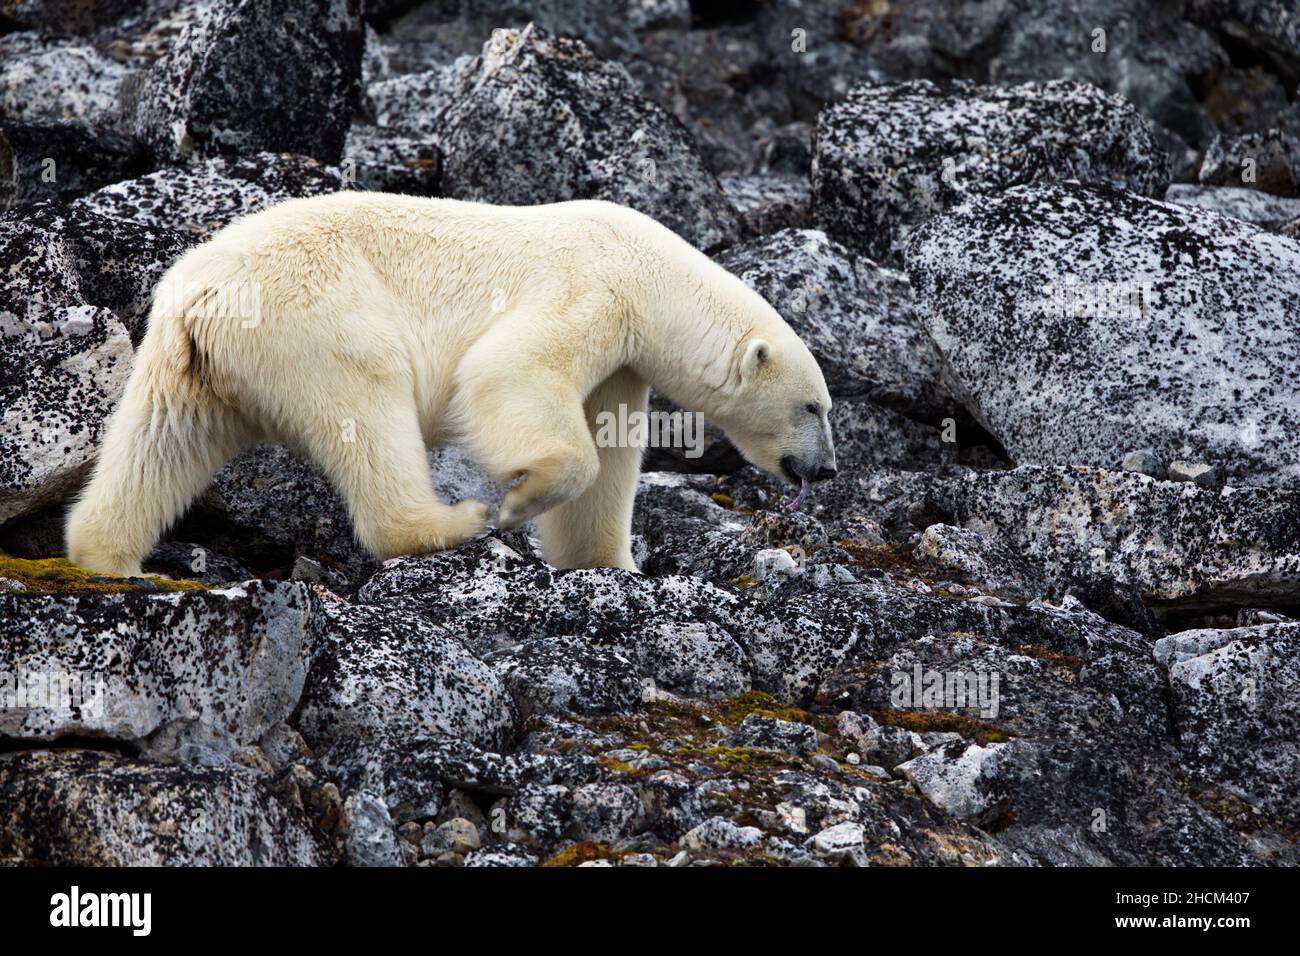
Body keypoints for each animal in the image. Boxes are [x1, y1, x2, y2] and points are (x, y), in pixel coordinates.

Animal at [65, 191, 837, 572]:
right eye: (814, 405)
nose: (827, 472)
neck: (648, 272)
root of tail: (205, 296)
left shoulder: (620, 363)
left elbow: (610, 449)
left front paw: (610, 565)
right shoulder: (590, 290)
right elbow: (506, 372)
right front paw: (519, 501)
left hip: (187, 357)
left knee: (161, 441)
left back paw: (107, 556)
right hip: (315, 315)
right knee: (369, 404)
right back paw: (448, 522)